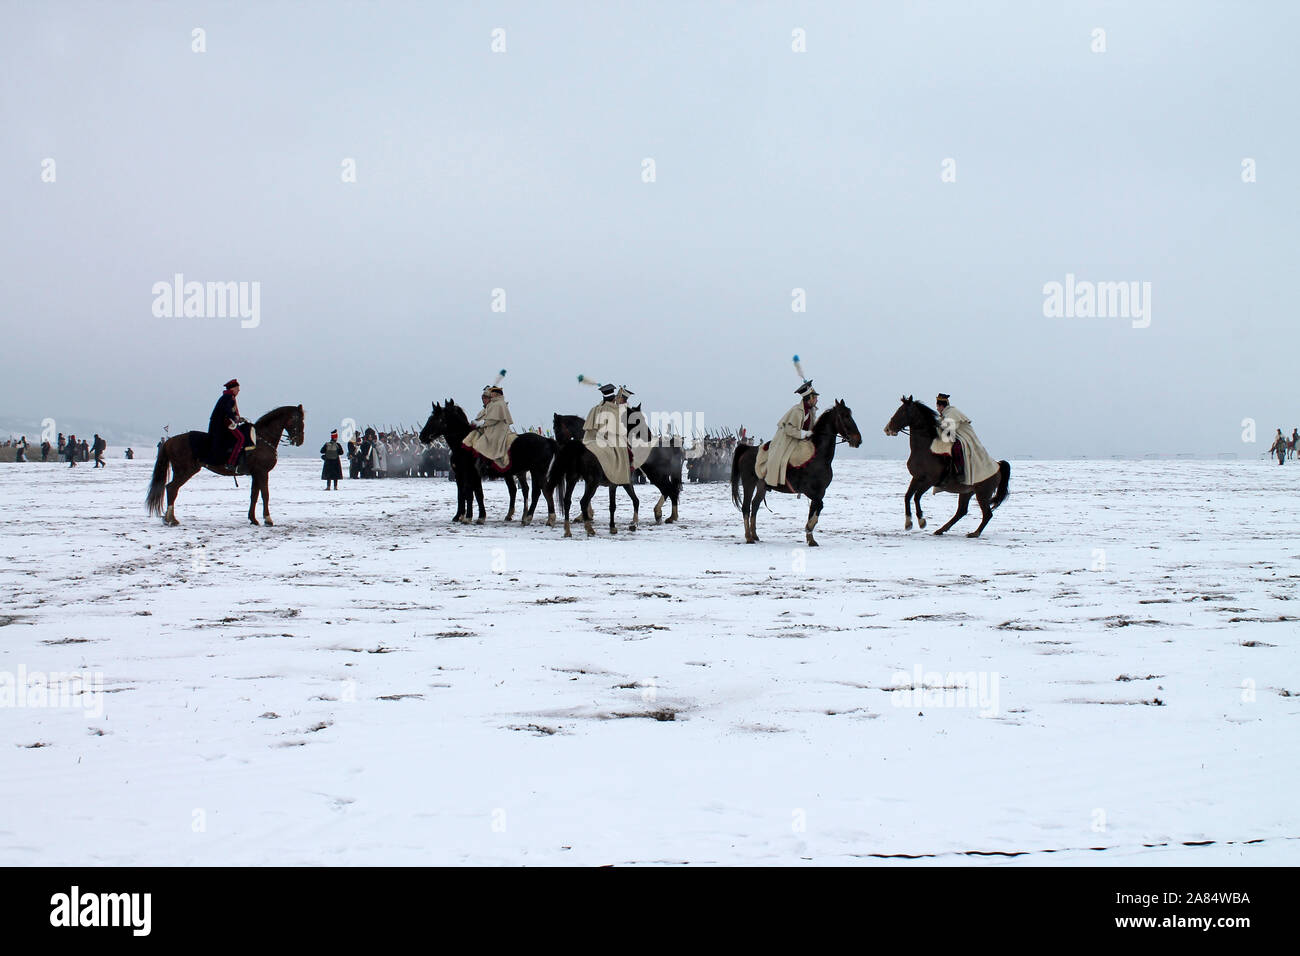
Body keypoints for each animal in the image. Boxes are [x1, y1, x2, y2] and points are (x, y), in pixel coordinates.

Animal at [146, 403, 306, 528]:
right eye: (298, 419)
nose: (299, 441)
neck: (261, 440)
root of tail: (170, 440)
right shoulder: (262, 472)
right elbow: (265, 495)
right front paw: (268, 519)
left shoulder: (255, 474)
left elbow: (254, 495)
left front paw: (253, 519)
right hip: (185, 471)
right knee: (172, 488)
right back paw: (171, 519)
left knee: (170, 488)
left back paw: (169, 518)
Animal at [733, 395, 863, 546]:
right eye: (844, 416)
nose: (858, 440)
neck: (818, 455)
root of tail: (747, 449)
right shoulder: (809, 491)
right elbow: (819, 506)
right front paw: (808, 528)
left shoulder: (820, 492)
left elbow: (815, 510)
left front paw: (811, 538)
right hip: (749, 483)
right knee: (746, 507)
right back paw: (748, 537)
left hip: (762, 486)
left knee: (755, 505)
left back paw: (755, 535)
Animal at [878, 395, 1008, 538]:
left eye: (902, 411)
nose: (887, 429)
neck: (925, 448)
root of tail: (998, 465)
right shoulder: (917, 478)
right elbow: (907, 496)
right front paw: (908, 523)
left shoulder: (930, 480)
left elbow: (917, 496)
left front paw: (922, 521)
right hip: (966, 492)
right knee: (961, 511)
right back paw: (941, 530)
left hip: (982, 494)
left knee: (987, 514)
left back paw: (974, 533)